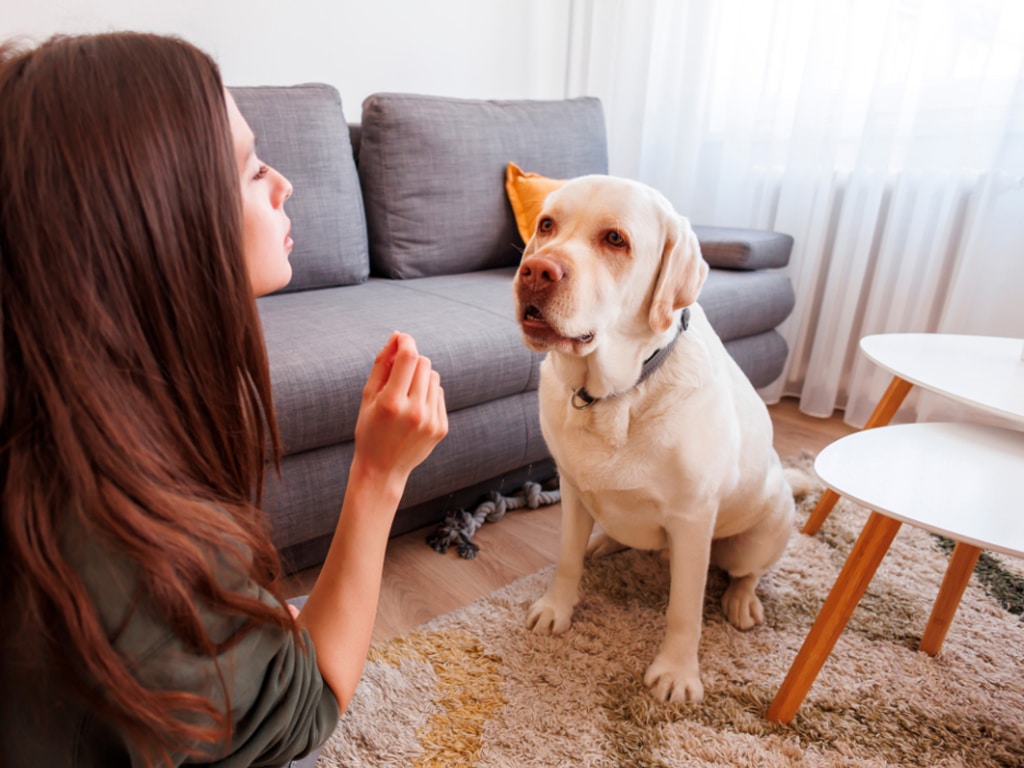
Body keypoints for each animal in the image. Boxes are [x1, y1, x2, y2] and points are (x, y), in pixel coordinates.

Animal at [516, 173, 794, 704]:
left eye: (615, 239)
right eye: (546, 225)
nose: (536, 271)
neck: (613, 396)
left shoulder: (692, 520)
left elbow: (684, 608)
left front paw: (677, 671)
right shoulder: (572, 490)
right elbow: (565, 561)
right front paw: (557, 608)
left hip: (762, 526)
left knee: (747, 571)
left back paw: (741, 602)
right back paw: (604, 543)